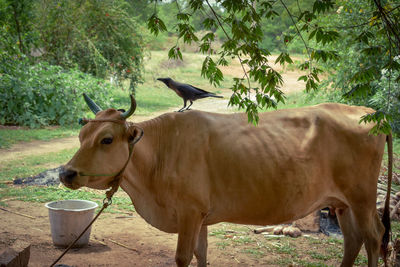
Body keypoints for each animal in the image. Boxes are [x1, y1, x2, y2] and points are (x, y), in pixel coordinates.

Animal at [61, 94, 392, 267]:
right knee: (353, 240)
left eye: (106, 139)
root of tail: (370, 113)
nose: (66, 172)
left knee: (374, 237)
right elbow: (201, 253)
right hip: (341, 203)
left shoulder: (189, 212)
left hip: (362, 199)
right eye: (81, 135)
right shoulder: (201, 216)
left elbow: (183, 256)